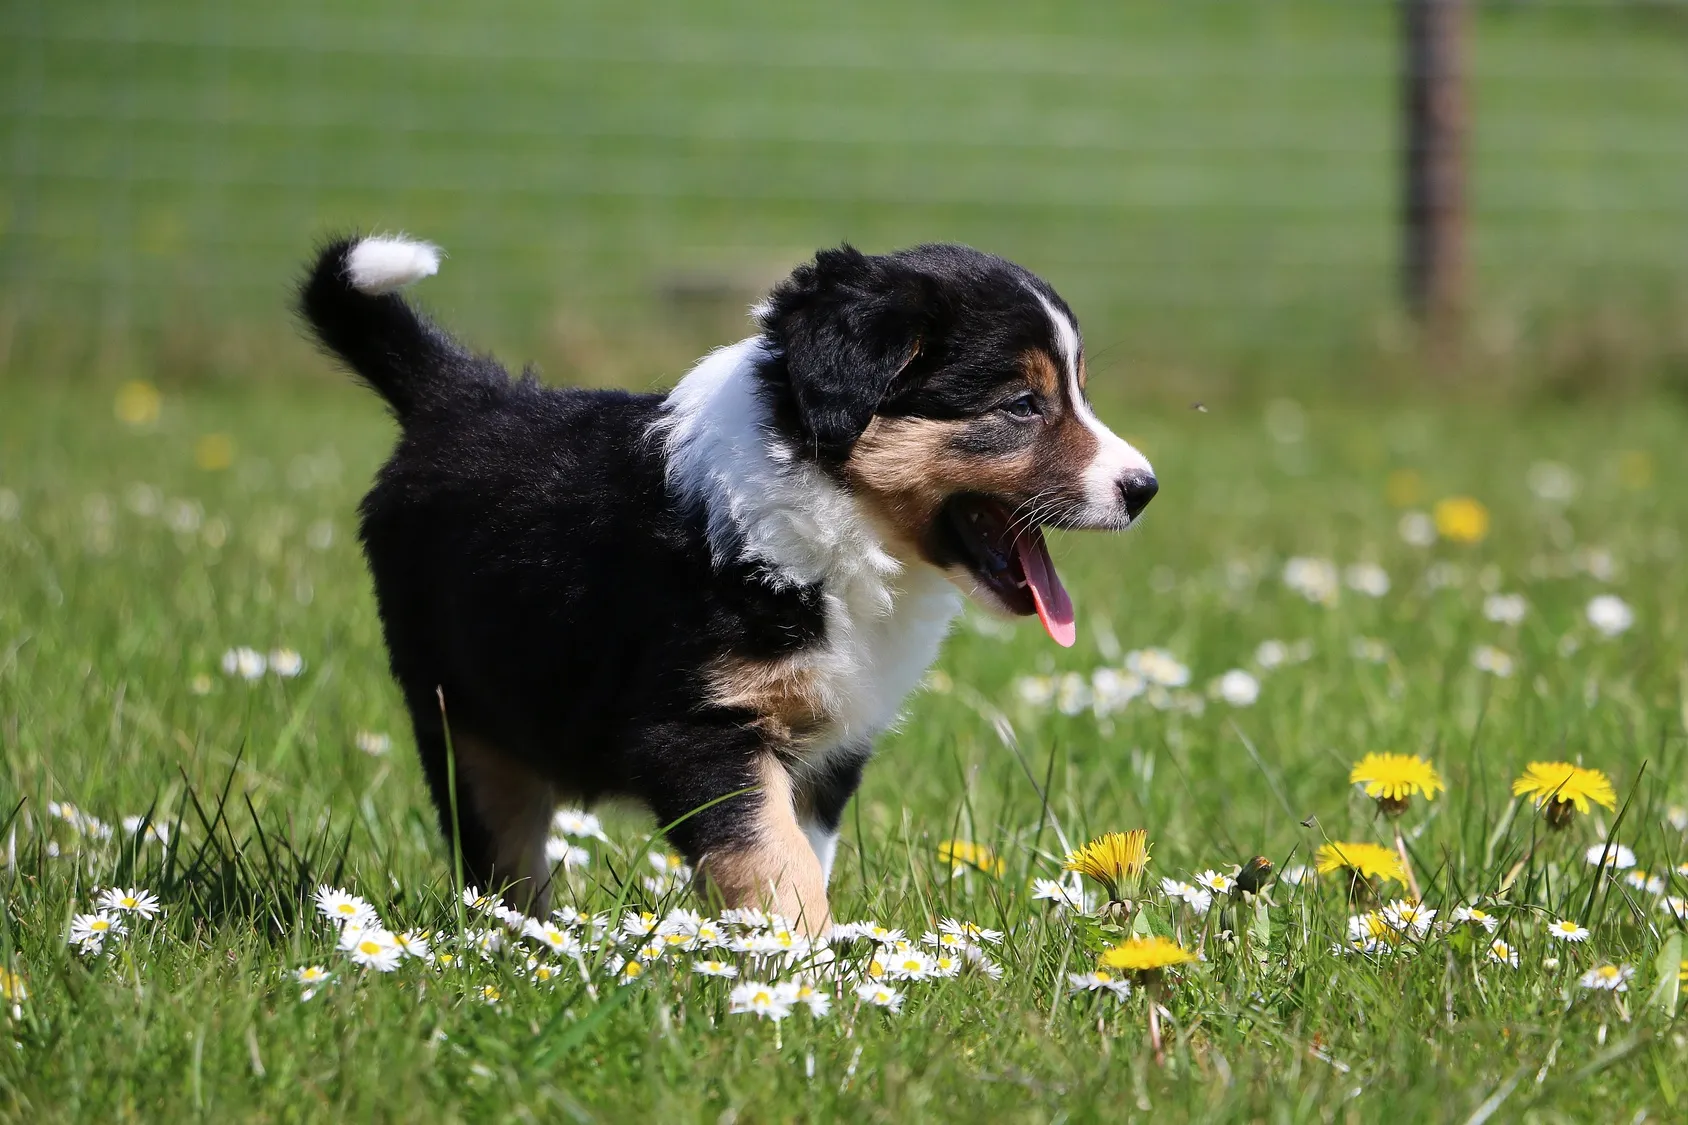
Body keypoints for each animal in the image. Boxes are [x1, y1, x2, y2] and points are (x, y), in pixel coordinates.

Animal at [297, 234, 1154, 925]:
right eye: (1023, 403)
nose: (1144, 488)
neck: (833, 517)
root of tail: (463, 396)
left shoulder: (831, 745)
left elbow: (804, 848)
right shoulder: (696, 725)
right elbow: (772, 855)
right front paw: (812, 968)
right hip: (462, 712)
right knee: (499, 842)